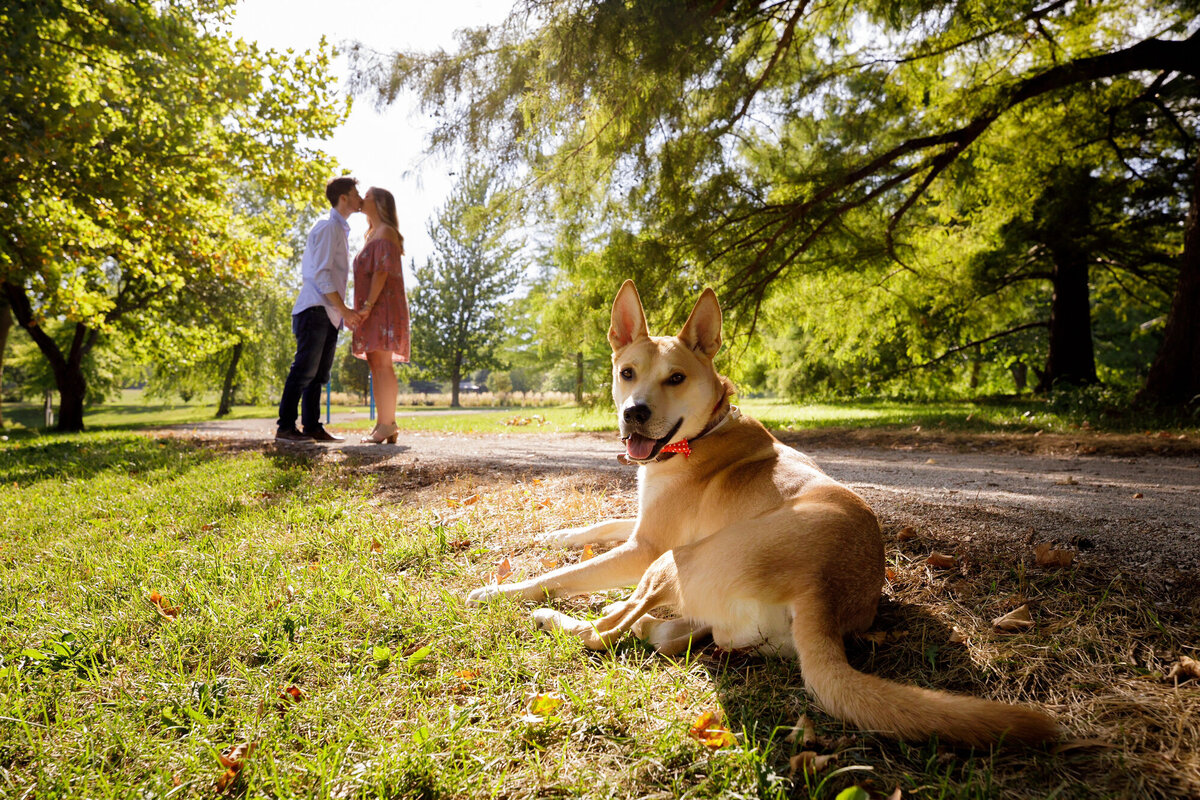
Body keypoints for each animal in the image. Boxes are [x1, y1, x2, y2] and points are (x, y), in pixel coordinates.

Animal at [468, 281, 1060, 753]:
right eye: (627, 372)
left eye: (676, 378)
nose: (633, 411)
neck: (701, 433)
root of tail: (825, 589)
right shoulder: (640, 528)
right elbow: (595, 526)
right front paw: (548, 533)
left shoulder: (646, 546)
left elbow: (560, 576)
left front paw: (497, 590)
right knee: (663, 635)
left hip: (674, 560)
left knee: (603, 633)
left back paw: (558, 618)